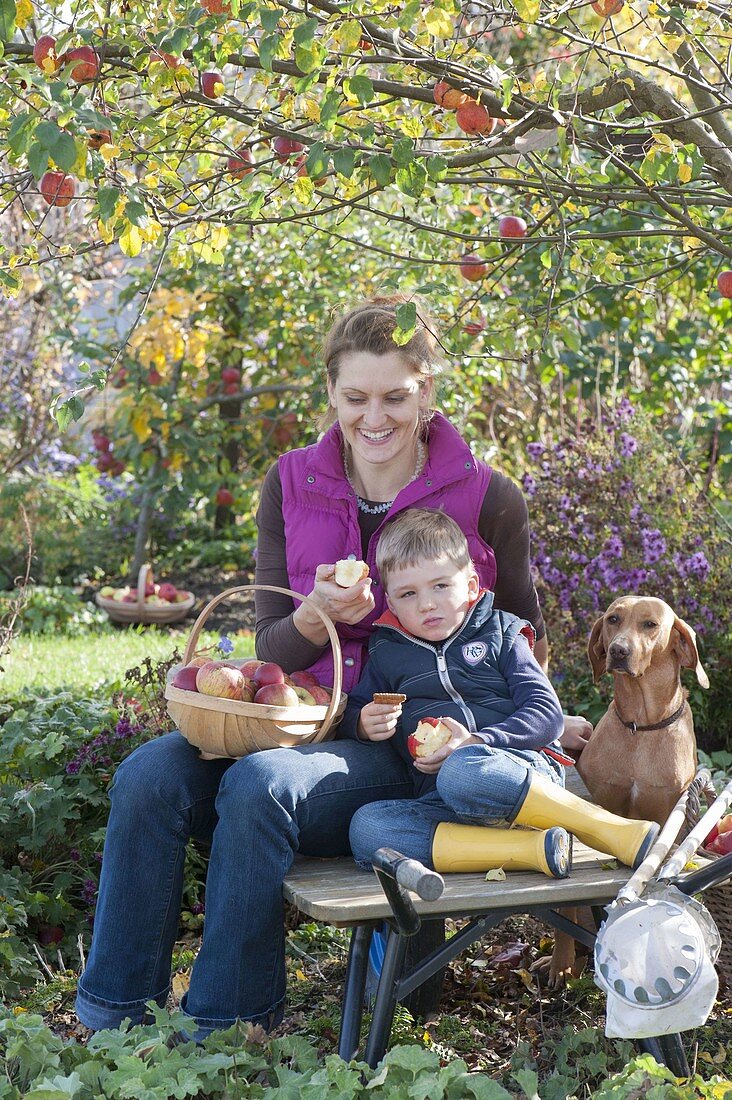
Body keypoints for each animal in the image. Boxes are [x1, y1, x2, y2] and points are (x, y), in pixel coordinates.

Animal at [545, 598, 704, 985]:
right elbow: (566, 910)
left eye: (650, 624)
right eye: (613, 619)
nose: (618, 650)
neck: (640, 726)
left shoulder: (666, 813)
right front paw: (560, 963)